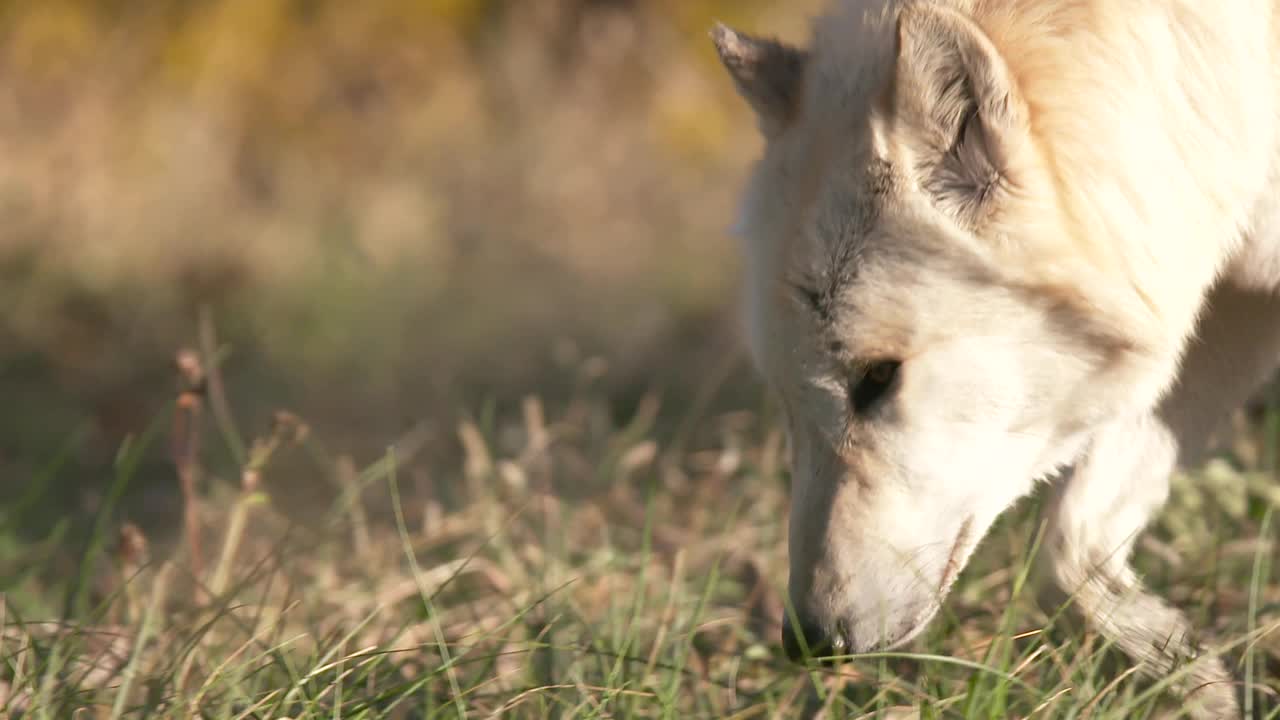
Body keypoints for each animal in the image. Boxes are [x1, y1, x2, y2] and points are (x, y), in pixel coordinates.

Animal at [711, 0, 1280, 712]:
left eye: (877, 378)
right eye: (788, 401)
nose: (809, 641)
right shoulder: (1215, 315)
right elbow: (1067, 553)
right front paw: (1192, 677)